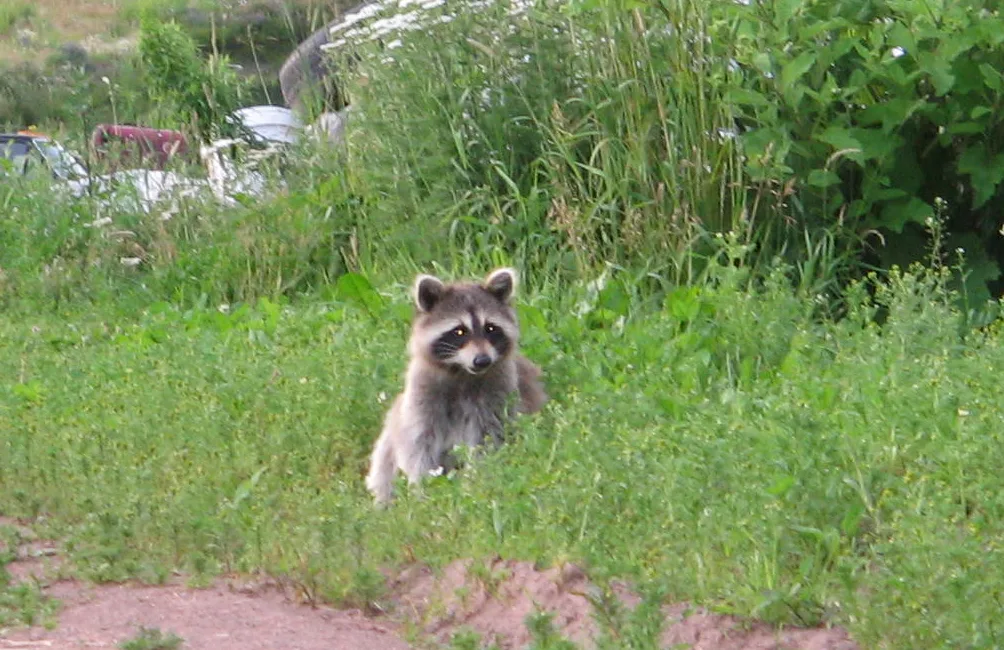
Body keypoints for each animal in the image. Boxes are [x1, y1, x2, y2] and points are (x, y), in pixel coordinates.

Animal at [365, 267, 548, 504]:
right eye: (459, 331)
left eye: (490, 328)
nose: (482, 361)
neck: (461, 371)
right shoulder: (421, 395)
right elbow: (418, 443)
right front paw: (421, 488)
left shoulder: (499, 393)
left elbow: (487, 438)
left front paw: (474, 482)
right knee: (385, 457)